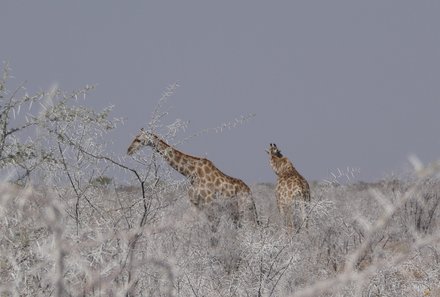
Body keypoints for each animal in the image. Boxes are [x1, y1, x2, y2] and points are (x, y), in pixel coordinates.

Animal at [126, 128, 258, 225]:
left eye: (138, 139)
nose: (128, 150)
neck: (191, 173)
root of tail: (249, 192)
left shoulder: (209, 204)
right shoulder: (196, 205)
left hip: (244, 208)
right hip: (234, 211)